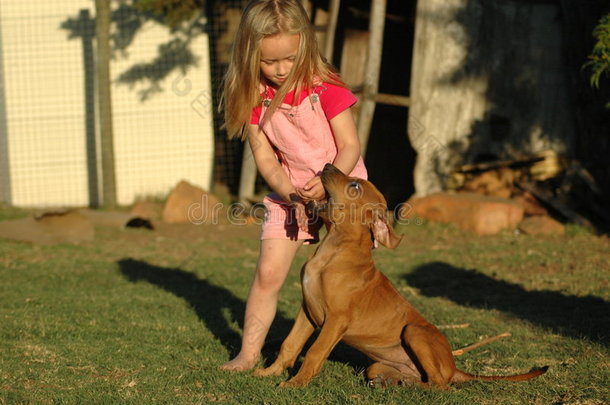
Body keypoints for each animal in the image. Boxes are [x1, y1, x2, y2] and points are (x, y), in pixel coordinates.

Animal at [252, 163, 548, 386]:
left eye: (354, 186)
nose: (326, 165)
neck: (333, 250)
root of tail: (453, 365)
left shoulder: (336, 319)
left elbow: (314, 352)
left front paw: (294, 383)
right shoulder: (308, 309)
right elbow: (289, 345)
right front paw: (268, 373)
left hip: (413, 331)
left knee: (439, 385)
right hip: (377, 365)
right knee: (413, 378)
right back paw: (395, 382)